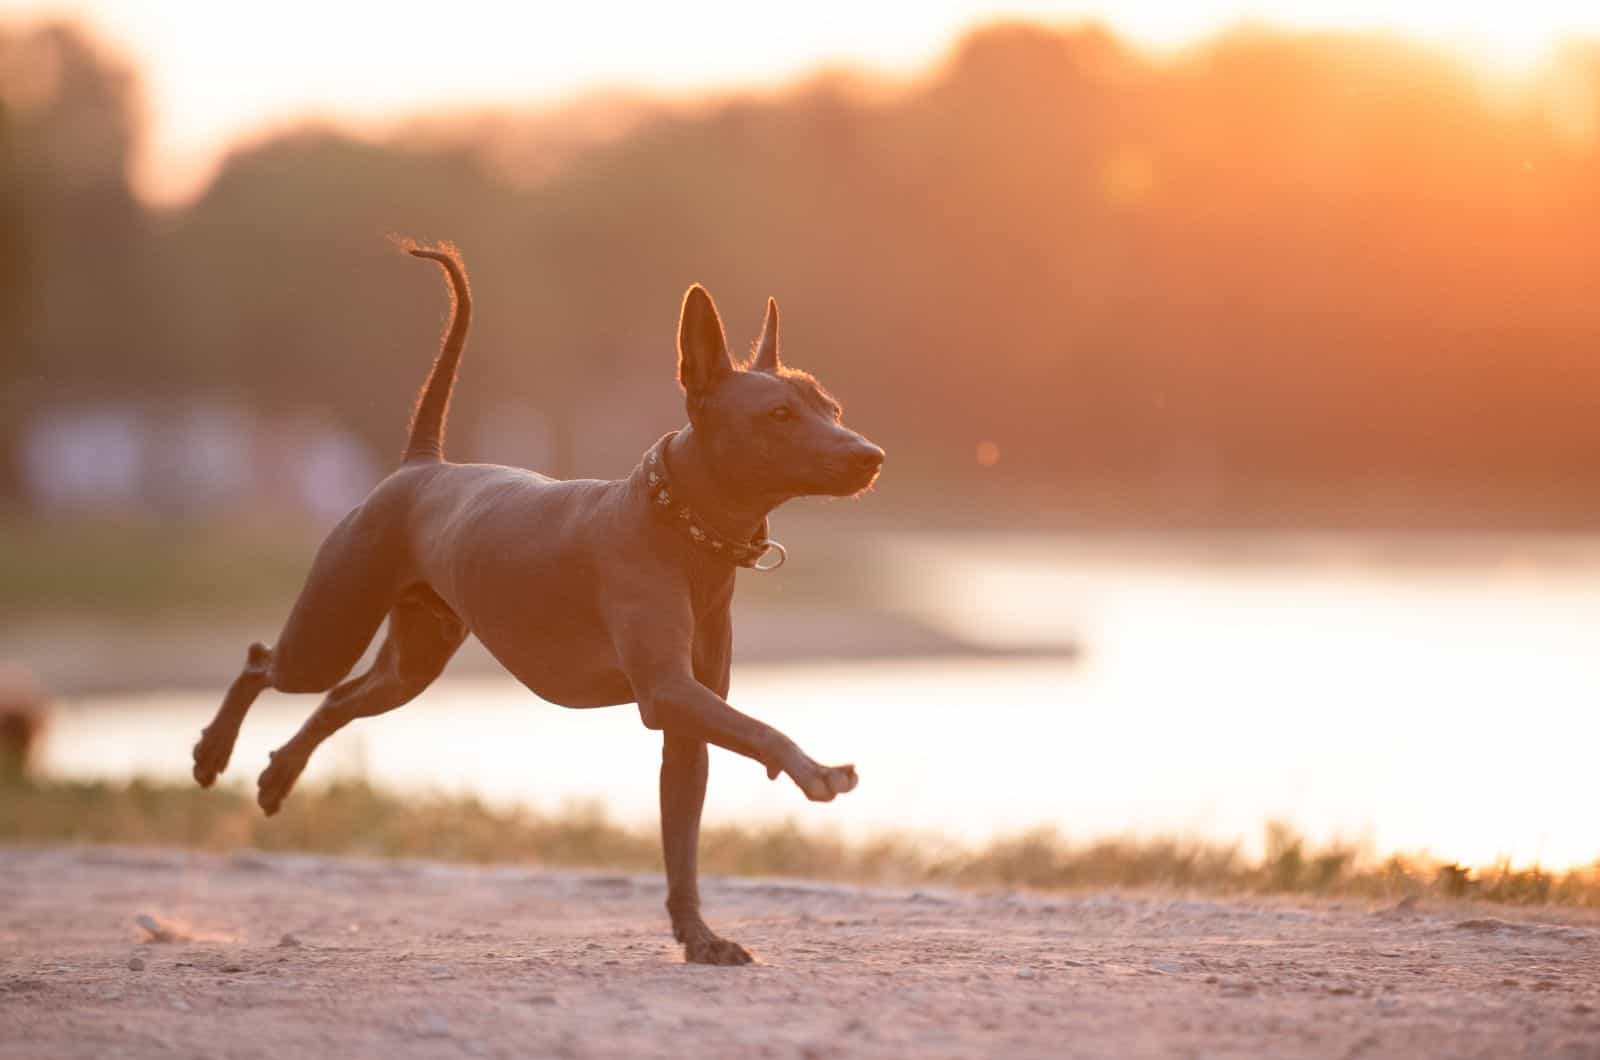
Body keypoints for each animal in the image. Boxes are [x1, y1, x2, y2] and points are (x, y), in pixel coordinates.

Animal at [193, 244, 889, 967]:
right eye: (779, 415)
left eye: (832, 408)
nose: (872, 456)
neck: (682, 528)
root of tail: (422, 467)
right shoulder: (668, 693)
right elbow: (762, 729)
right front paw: (814, 770)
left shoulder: (686, 724)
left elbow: (682, 847)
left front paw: (698, 937)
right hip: (326, 636)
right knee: (262, 662)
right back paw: (213, 752)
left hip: (406, 669)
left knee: (335, 702)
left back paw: (278, 776)